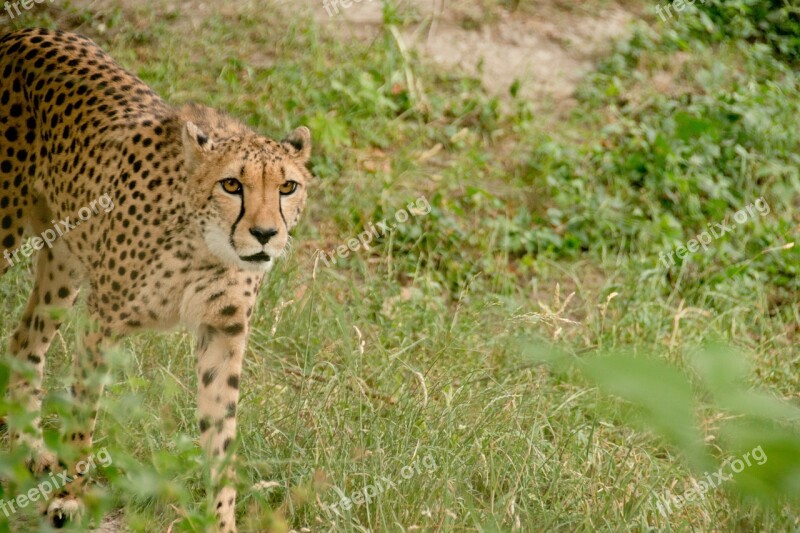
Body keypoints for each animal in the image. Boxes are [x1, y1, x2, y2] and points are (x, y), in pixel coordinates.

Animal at [0, 27, 312, 528]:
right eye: (231, 185)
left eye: (287, 187)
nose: (266, 234)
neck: (204, 246)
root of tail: (26, 30)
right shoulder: (102, 320)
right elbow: (84, 417)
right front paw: (69, 497)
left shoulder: (223, 331)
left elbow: (221, 437)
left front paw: (222, 520)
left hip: (64, 259)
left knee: (25, 340)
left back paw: (29, 450)